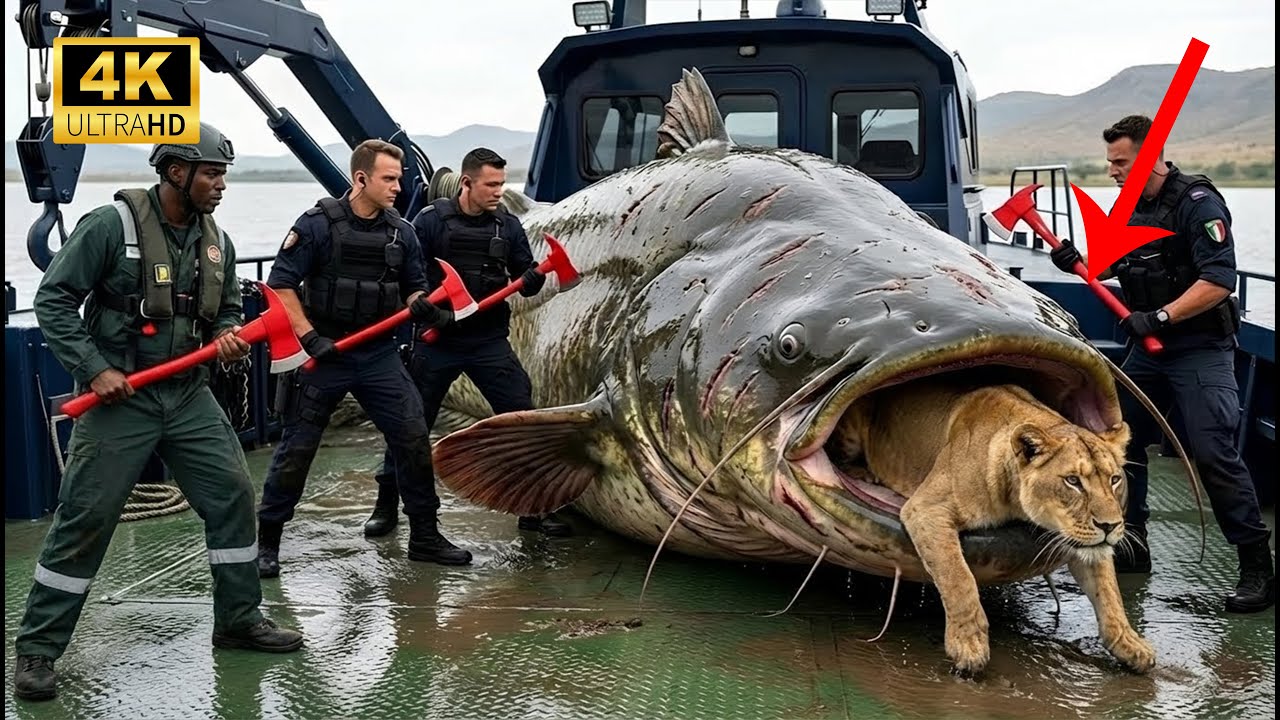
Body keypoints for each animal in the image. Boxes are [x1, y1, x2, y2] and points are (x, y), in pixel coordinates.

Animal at [842, 380, 1154, 676]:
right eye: (1073, 481)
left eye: (1114, 479)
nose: (1110, 525)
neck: (1013, 499)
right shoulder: (925, 508)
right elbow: (958, 577)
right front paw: (969, 646)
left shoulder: (1083, 544)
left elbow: (1109, 593)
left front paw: (1130, 644)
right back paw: (862, 473)